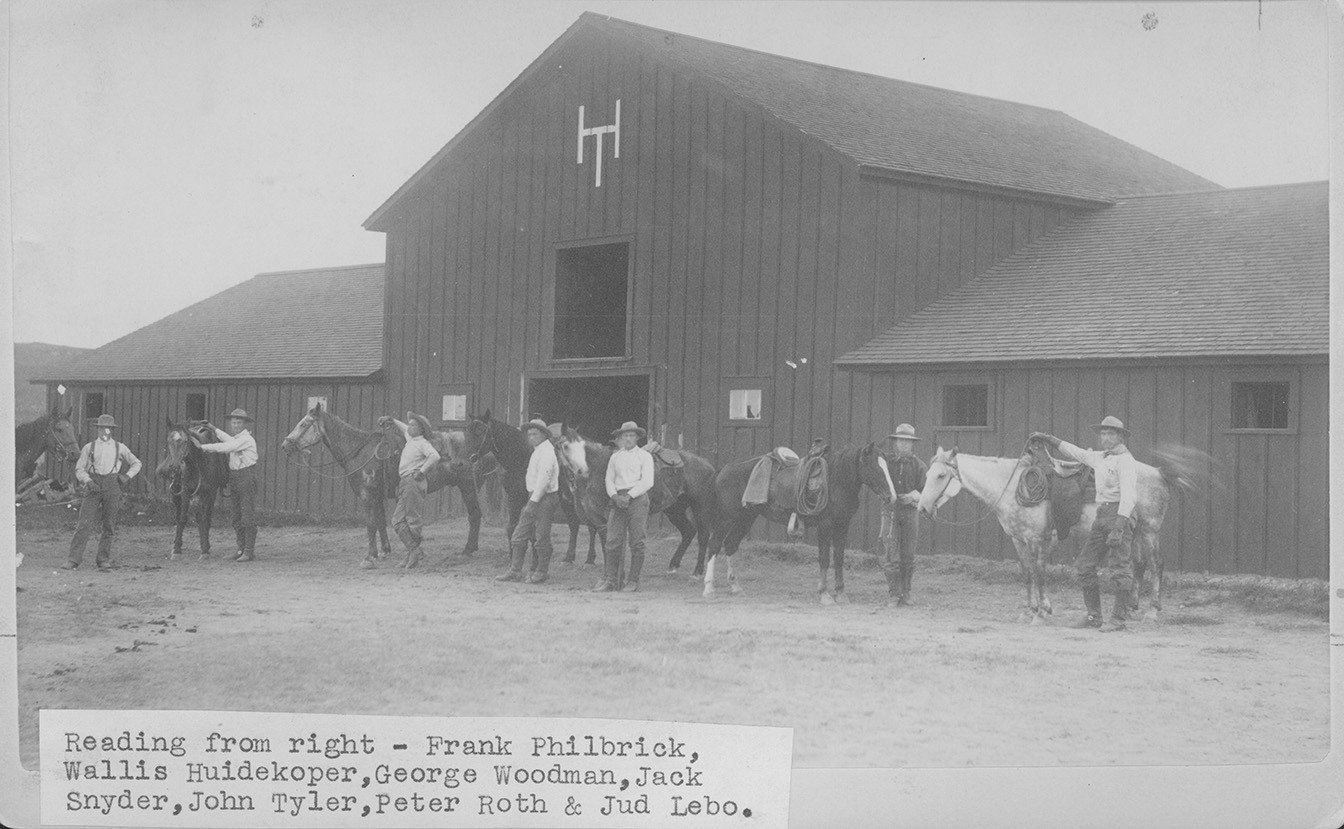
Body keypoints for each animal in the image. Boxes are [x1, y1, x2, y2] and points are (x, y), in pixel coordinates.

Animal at [154, 416, 228, 558]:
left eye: (185, 441)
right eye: (168, 441)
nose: (175, 467)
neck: (199, 462)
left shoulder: (208, 493)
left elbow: (204, 519)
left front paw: (204, 550)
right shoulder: (185, 491)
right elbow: (183, 518)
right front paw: (177, 550)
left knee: (205, 517)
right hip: (176, 493)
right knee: (179, 516)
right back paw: (176, 544)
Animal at [280, 403, 486, 569]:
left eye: (304, 424)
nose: (285, 446)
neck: (360, 452)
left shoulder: (367, 495)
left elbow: (370, 524)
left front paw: (369, 556)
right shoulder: (377, 496)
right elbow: (380, 522)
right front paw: (384, 551)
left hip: (467, 486)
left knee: (475, 514)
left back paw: (468, 550)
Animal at [556, 427, 725, 575]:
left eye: (578, 447)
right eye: (563, 446)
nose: (581, 470)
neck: (599, 470)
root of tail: (708, 466)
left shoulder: (608, 518)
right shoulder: (597, 519)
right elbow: (606, 545)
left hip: (700, 507)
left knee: (703, 536)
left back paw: (697, 571)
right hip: (674, 509)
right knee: (688, 531)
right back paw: (673, 565)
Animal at [698, 440, 897, 601]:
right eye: (875, 467)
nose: (891, 497)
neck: (835, 480)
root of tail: (723, 469)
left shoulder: (842, 525)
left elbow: (839, 559)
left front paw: (841, 594)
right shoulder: (825, 525)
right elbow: (824, 559)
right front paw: (824, 594)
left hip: (746, 517)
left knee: (730, 545)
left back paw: (735, 587)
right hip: (727, 517)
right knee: (715, 544)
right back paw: (708, 588)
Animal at [913, 446, 1209, 620]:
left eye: (940, 476)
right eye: (927, 474)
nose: (922, 508)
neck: (1011, 488)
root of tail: (1159, 472)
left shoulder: (1037, 539)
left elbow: (1040, 572)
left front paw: (1042, 611)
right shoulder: (1018, 540)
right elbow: (1027, 573)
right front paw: (1030, 609)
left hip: (1150, 529)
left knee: (1157, 565)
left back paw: (1152, 611)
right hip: (1133, 532)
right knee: (1138, 565)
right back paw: (1131, 606)